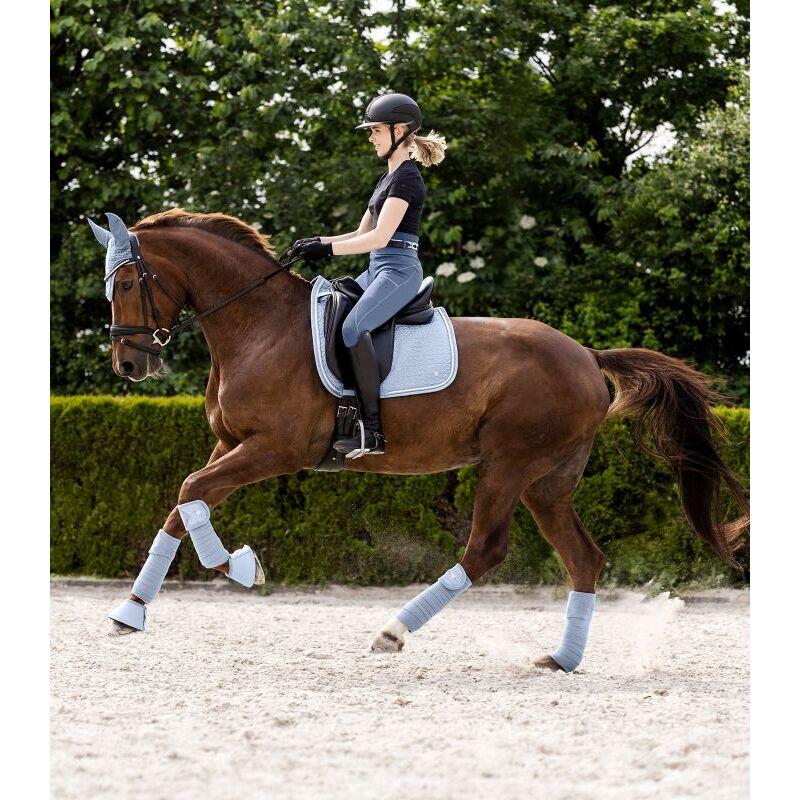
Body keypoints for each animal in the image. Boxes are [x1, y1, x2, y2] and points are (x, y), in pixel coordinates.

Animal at [88, 208, 748, 671]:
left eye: (128, 283)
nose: (128, 365)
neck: (257, 326)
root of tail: (586, 355)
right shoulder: (231, 446)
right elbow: (184, 504)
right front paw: (131, 612)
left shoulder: (274, 450)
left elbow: (190, 494)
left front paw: (241, 567)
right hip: (548, 482)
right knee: (583, 557)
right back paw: (561, 659)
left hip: (508, 464)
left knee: (485, 549)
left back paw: (392, 632)